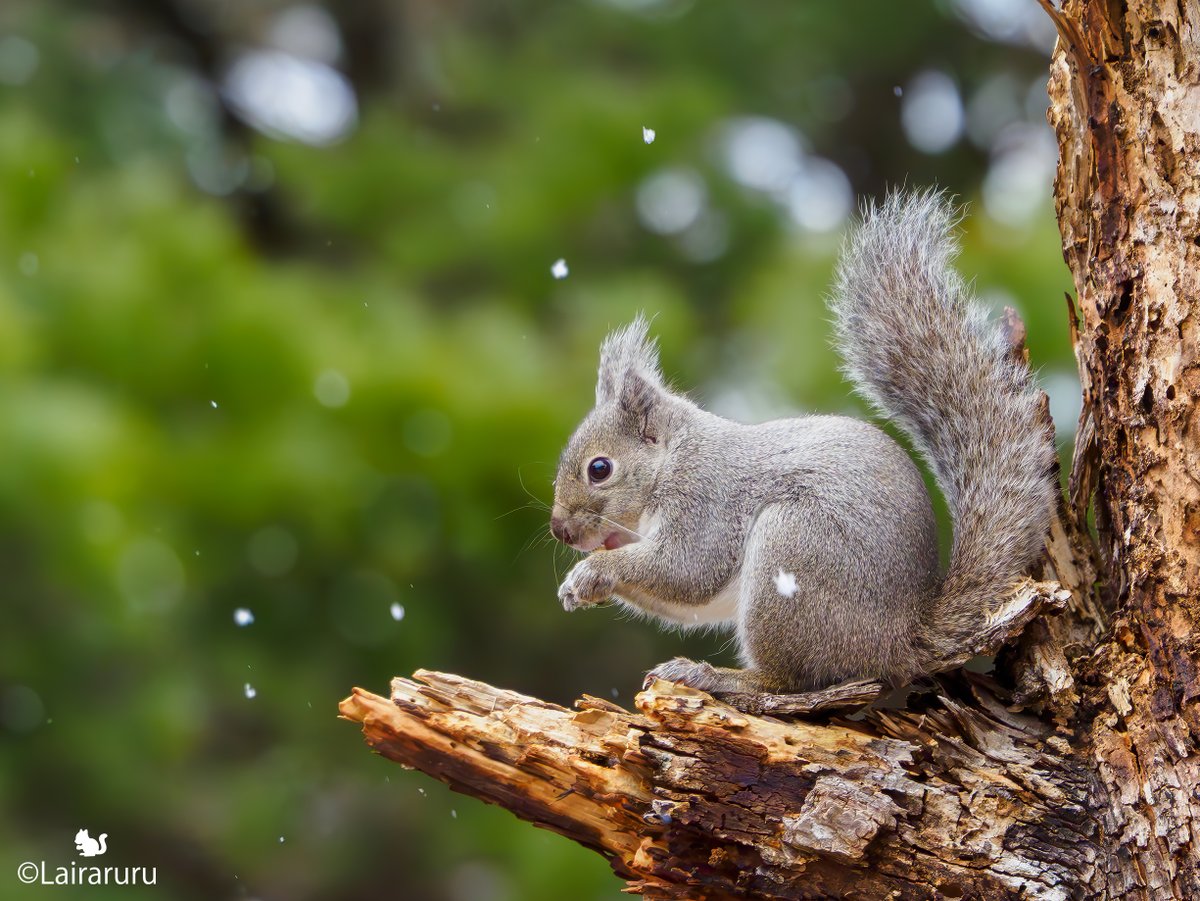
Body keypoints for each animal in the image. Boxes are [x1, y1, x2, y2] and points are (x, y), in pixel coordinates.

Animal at [549, 191, 1057, 694]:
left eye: (599, 469)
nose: (560, 531)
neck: (673, 459)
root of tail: (900, 639)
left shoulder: (705, 499)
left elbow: (686, 570)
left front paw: (593, 571)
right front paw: (576, 587)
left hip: (792, 550)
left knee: (785, 680)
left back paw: (719, 677)